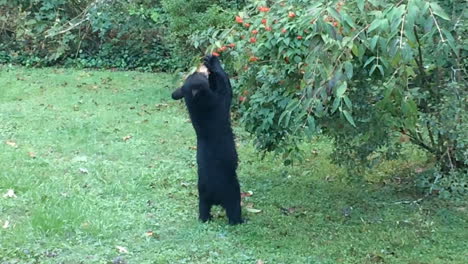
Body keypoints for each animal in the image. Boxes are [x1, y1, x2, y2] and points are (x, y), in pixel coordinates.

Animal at [172, 54, 245, 224]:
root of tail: (214, 194)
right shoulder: (220, 99)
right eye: (197, 75)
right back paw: (240, 221)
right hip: (232, 191)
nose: (200, 67)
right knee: (234, 210)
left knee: (203, 210)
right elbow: (225, 84)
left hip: (202, 197)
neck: (196, 103)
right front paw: (213, 62)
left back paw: (205, 218)